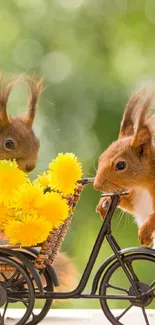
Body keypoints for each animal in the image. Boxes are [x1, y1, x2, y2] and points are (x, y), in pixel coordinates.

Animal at [93, 87, 155, 247]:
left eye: (121, 165)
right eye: (101, 158)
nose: (96, 185)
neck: (142, 186)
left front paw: (145, 232)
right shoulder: (138, 201)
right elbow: (129, 205)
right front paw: (106, 202)